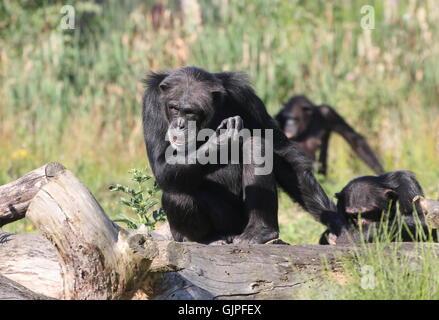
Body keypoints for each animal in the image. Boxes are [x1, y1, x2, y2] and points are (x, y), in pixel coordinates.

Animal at [143, 66, 346, 244]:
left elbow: (283, 155)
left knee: (255, 144)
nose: (180, 124)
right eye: (174, 108)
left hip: (239, 223)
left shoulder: (245, 97)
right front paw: (222, 139)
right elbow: (161, 163)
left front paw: (336, 222)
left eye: (190, 112)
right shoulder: (152, 102)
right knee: (177, 196)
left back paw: (260, 230)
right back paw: (208, 238)